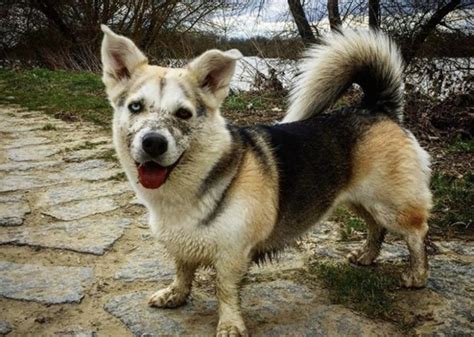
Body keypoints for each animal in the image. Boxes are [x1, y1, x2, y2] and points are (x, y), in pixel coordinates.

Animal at [101, 25, 434, 334]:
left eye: (183, 113)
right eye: (135, 107)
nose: (153, 143)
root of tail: (376, 107)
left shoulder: (232, 254)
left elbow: (225, 290)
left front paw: (230, 325)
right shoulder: (182, 244)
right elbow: (183, 271)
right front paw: (175, 295)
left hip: (390, 204)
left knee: (416, 233)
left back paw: (417, 275)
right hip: (359, 199)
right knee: (376, 227)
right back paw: (367, 256)